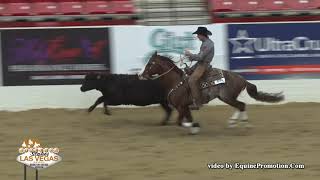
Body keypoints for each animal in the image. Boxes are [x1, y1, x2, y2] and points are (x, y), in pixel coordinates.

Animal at [139, 51, 284, 129]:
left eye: (150, 63)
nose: (141, 75)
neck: (177, 82)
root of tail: (242, 79)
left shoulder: (181, 107)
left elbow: (180, 122)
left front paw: (195, 126)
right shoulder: (184, 108)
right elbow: (184, 120)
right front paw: (193, 126)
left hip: (227, 97)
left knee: (241, 105)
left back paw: (244, 124)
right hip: (227, 98)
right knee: (240, 106)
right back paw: (233, 122)